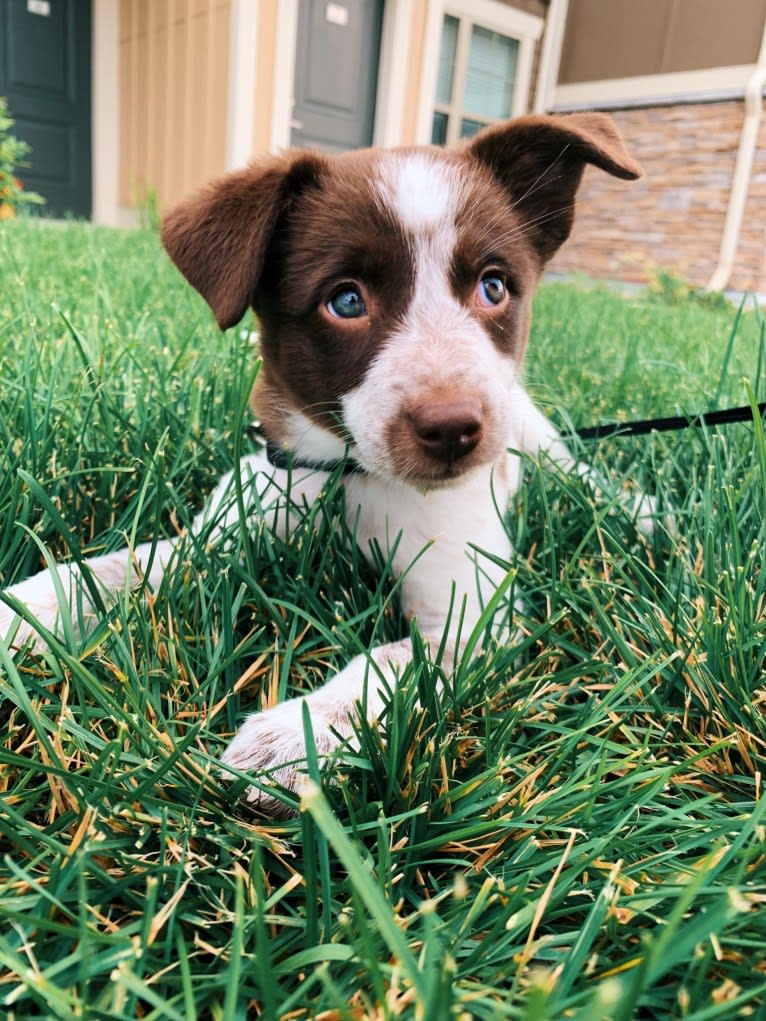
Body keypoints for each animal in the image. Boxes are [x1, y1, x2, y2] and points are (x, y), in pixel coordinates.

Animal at [0, 111, 645, 812]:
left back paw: (642, 513)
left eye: (494, 287)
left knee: (582, 476)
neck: (352, 475)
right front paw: (22, 610)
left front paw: (297, 733)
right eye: (346, 300)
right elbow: (120, 568)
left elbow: (393, 662)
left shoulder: (474, 610)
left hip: (532, 432)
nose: (453, 430)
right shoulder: (234, 520)